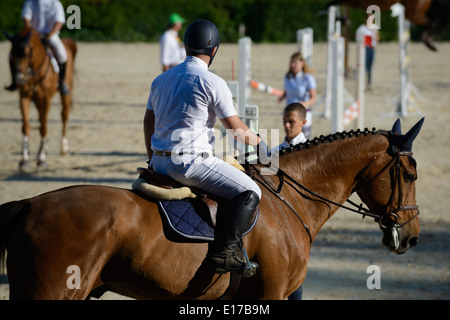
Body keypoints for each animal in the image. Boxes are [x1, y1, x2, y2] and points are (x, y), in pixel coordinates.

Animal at [5, 28, 77, 171]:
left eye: (27, 54)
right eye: (12, 55)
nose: (19, 80)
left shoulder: (46, 99)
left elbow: (44, 127)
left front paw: (42, 158)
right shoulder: (24, 97)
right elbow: (25, 126)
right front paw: (24, 160)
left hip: (65, 93)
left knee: (64, 116)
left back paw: (63, 147)